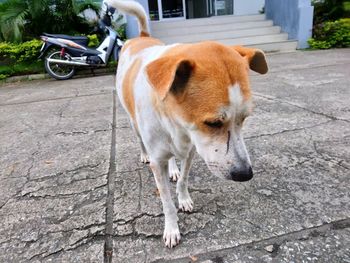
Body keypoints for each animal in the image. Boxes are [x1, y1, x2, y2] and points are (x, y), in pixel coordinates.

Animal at [106, 0, 268, 249]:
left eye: (244, 118)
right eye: (213, 123)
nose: (245, 174)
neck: (176, 124)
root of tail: (141, 36)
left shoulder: (191, 150)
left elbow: (183, 180)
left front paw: (183, 198)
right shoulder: (158, 162)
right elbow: (166, 202)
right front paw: (172, 228)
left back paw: (173, 168)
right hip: (133, 123)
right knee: (141, 141)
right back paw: (145, 155)